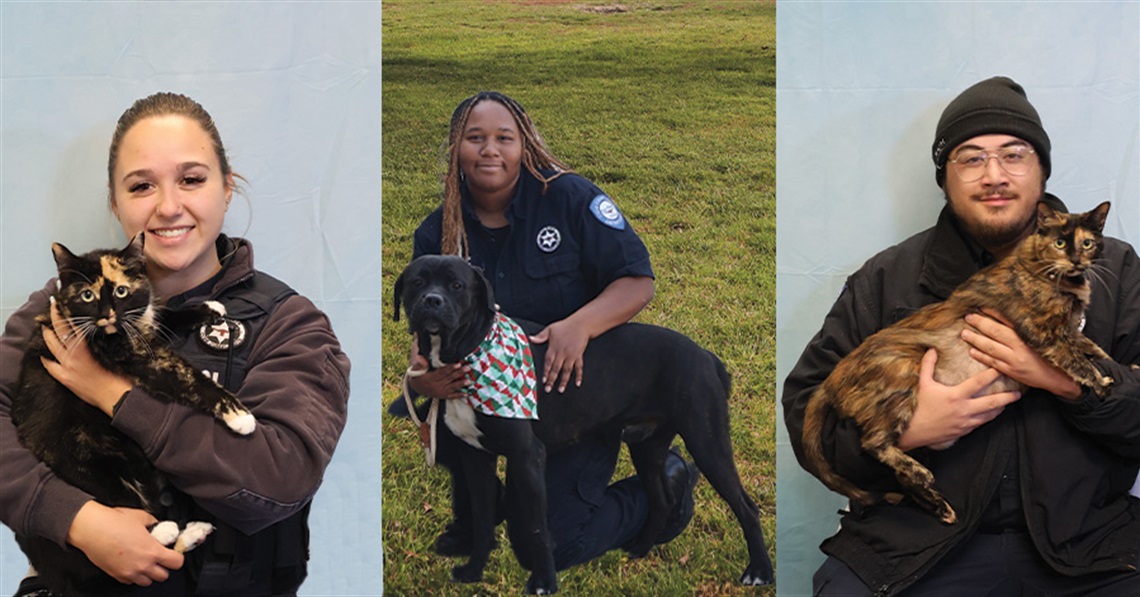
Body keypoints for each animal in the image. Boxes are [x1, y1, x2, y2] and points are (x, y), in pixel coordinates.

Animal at [11, 235, 257, 592]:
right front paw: (237, 413)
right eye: (87, 295)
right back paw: (163, 530)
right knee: (119, 529)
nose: (108, 315)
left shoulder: (140, 325)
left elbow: (163, 314)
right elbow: (186, 376)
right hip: (88, 469)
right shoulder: (133, 353)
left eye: (121, 291)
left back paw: (193, 532)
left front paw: (207, 309)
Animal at [392, 255, 775, 592]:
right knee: (661, 500)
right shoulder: (476, 459)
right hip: (647, 447)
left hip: (707, 441)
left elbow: (536, 528)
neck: (468, 352)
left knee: (746, 506)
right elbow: (483, 520)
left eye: (456, 284)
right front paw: (473, 571)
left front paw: (544, 583)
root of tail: (706, 357)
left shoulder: (527, 456)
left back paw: (759, 571)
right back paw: (641, 547)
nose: (432, 301)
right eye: (417, 282)